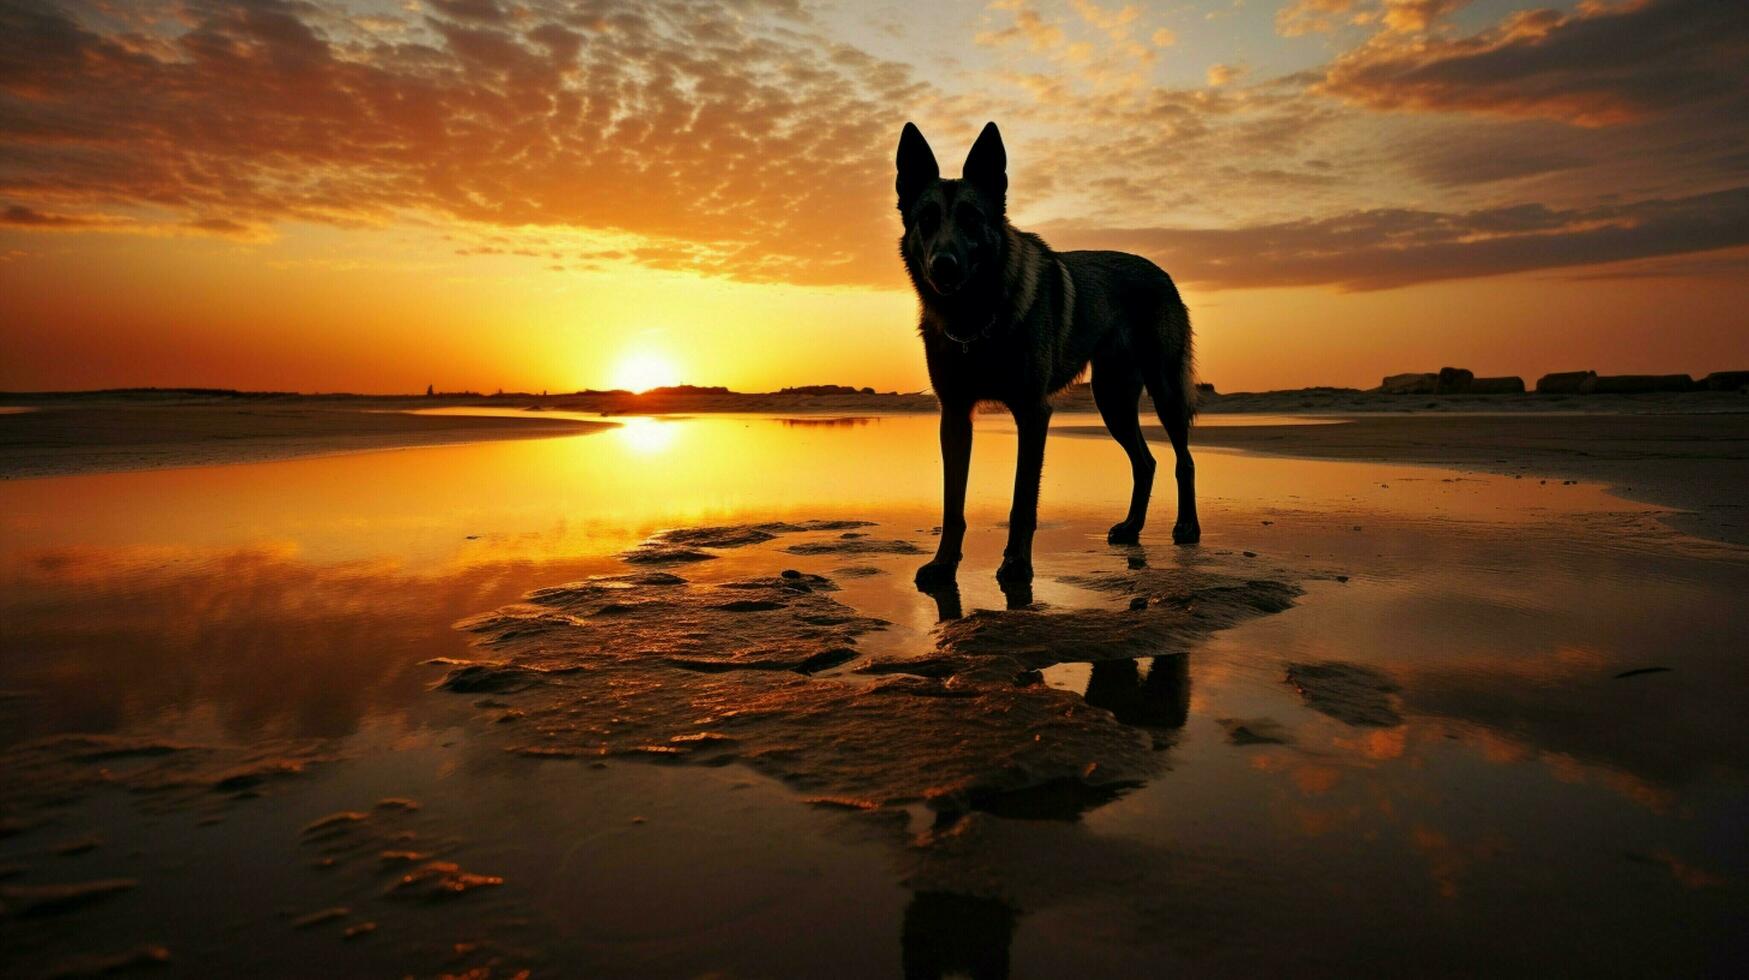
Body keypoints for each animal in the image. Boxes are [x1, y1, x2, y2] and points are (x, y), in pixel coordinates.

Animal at [895, 122, 1196, 598]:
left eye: (971, 218)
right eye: (926, 219)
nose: (944, 266)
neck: (977, 318)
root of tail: (1161, 273)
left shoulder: (1033, 413)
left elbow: (1022, 501)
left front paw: (1017, 564)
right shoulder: (955, 417)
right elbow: (952, 504)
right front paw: (944, 566)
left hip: (1163, 390)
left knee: (1184, 460)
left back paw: (1187, 526)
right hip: (1111, 401)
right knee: (1145, 462)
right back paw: (1132, 527)